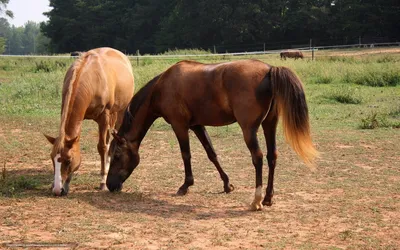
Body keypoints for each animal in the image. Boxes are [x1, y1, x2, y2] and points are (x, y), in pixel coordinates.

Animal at [43, 46, 134, 195]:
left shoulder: (104, 117)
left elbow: (102, 147)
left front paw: (102, 182)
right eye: (52, 158)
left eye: (68, 160)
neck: (90, 79)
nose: (57, 190)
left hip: (120, 112)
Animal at [107, 59, 318, 210]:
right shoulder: (197, 125)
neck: (162, 87)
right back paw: (267, 198)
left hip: (249, 129)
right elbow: (212, 153)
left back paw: (256, 201)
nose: (110, 186)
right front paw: (227, 185)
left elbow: (186, 155)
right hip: (269, 125)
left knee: (257, 157)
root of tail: (269, 70)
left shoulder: (179, 125)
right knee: (271, 156)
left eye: (116, 156)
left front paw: (185, 186)